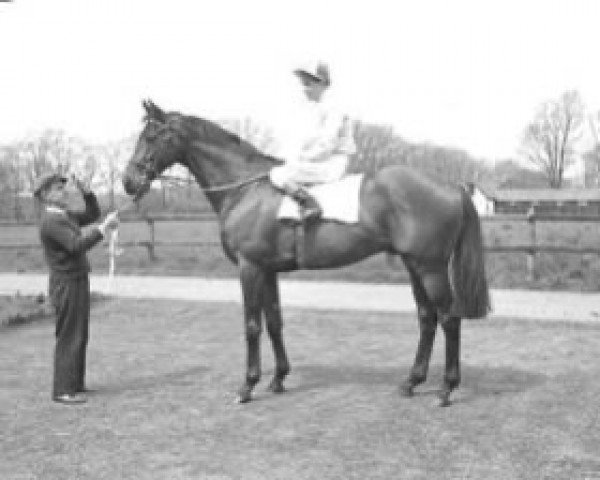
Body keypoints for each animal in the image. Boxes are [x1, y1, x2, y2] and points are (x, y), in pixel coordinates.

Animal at [120, 99, 488, 406]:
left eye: (151, 136)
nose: (128, 181)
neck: (247, 190)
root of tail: (452, 185)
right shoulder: (267, 271)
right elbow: (274, 322)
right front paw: (278, 379)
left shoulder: (249, 268)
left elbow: (251, 325)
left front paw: (247, 386)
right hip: (414, 265)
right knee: (427, 318)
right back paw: (412, 382)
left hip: (430, 268)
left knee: (449, 318)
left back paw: (445, 389)